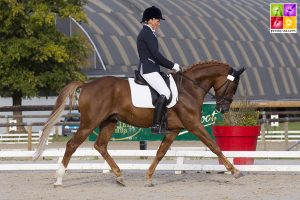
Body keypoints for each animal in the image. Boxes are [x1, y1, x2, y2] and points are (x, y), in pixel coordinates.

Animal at [34, 60, 246, 187]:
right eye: (234, 86)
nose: (223, 108)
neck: (189, 88)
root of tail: (86, 84)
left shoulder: (174, 130)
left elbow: (160, 153)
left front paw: (149, 177)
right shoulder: (194, 125)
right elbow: (214, 146)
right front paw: (235, 171)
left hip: (109, 121)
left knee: (100, 146)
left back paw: (119, 176)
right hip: (89, 122)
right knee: (72, 145)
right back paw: (59, 179)